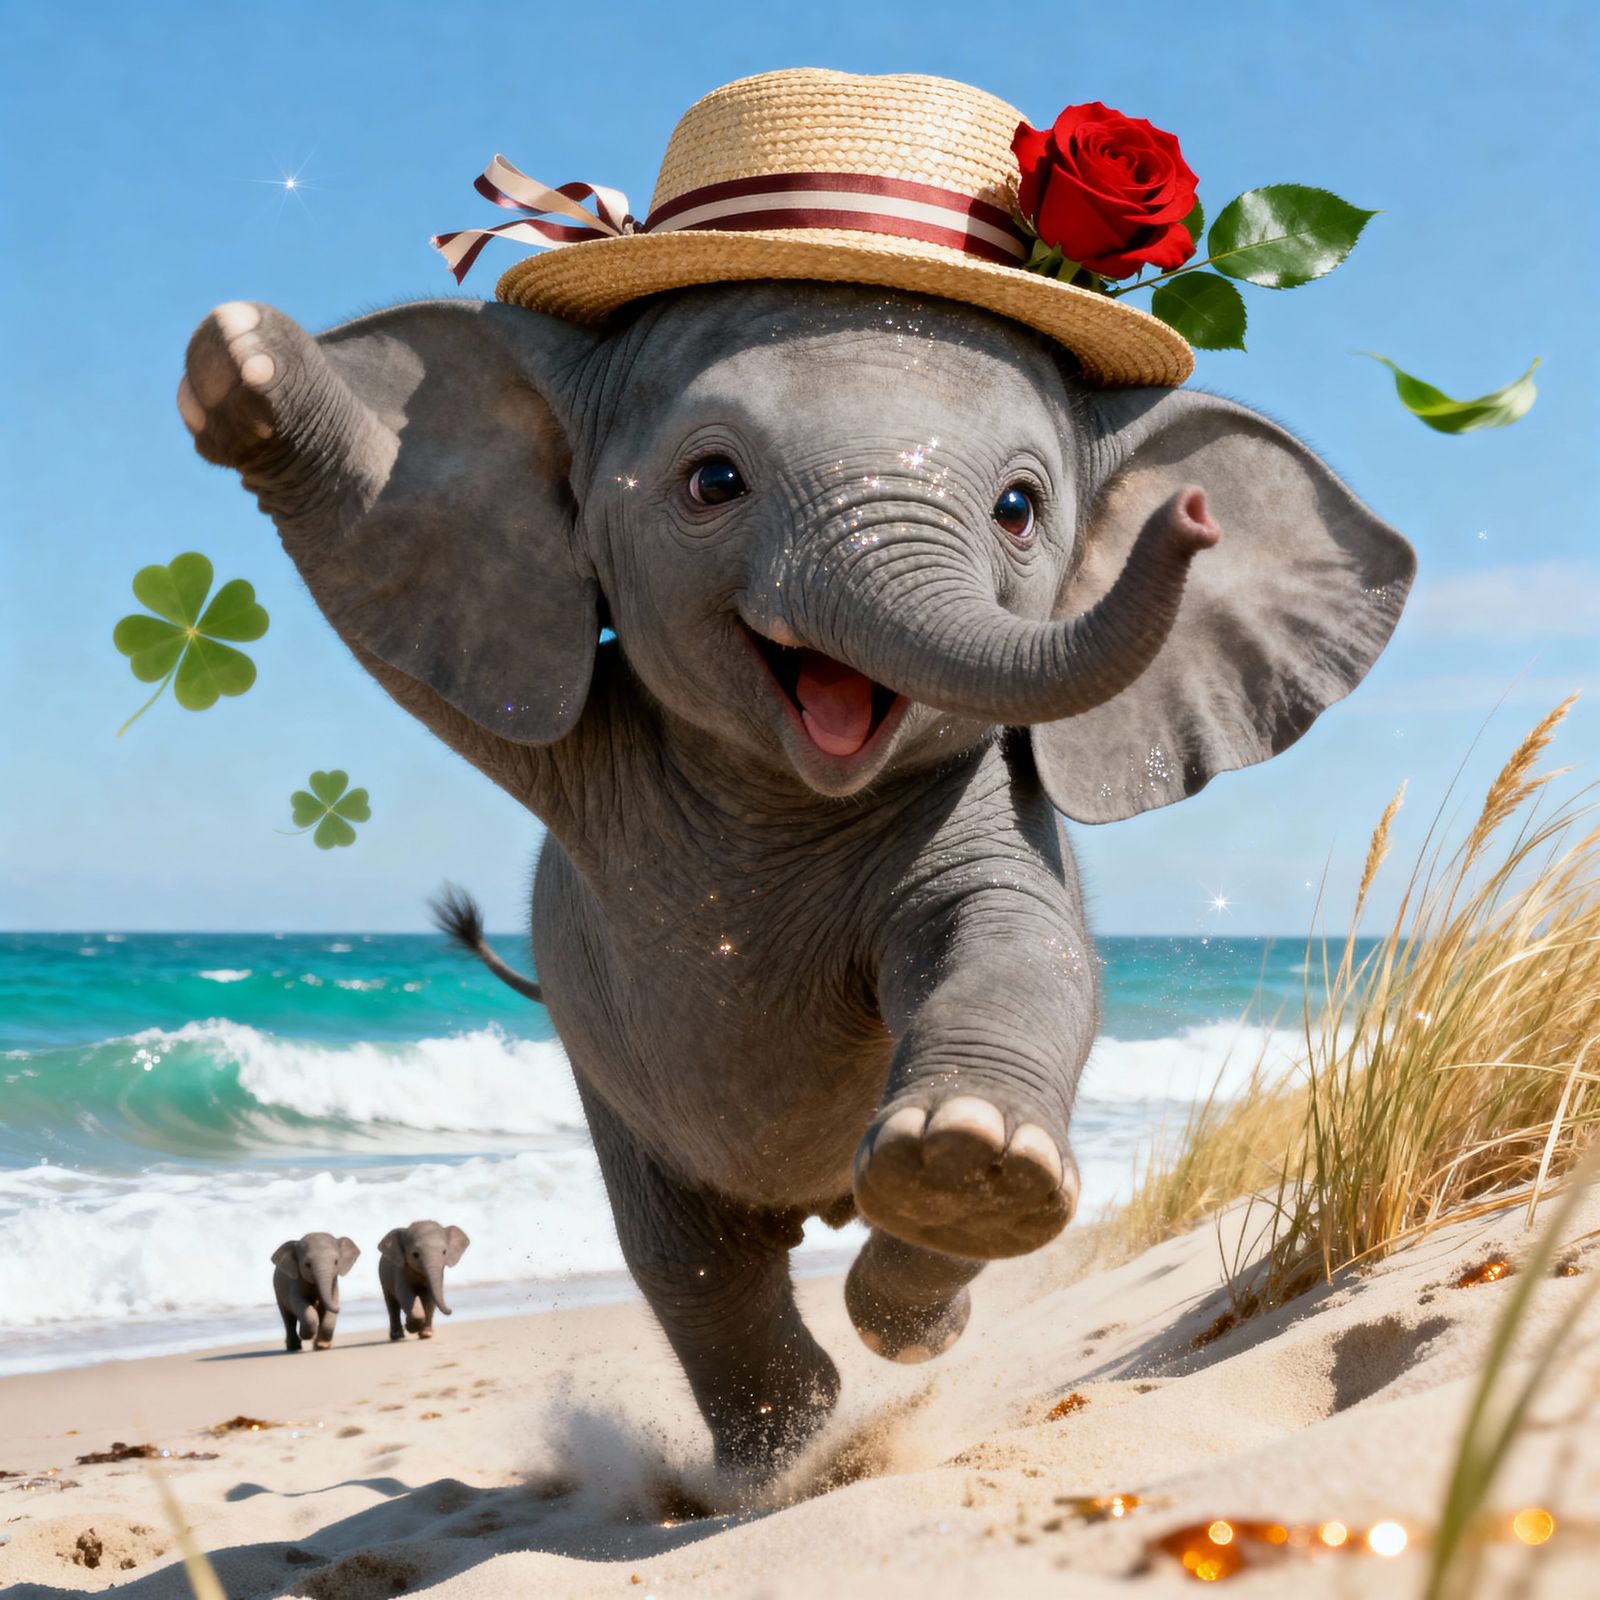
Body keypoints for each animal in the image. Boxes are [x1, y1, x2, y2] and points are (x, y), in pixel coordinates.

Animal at [179, 279, 1413, 1467]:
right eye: (713, 482)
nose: (1191, 519)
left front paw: (973, 1158)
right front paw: (245, 363)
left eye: (1019, 509)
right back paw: (780, 1449)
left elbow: (1022, 941)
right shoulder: (578, 743)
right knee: (684, 1252)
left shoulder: (982, 805)